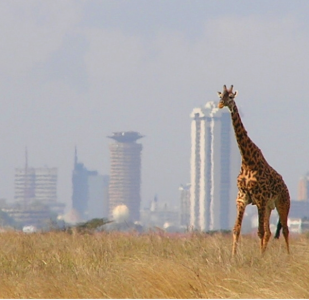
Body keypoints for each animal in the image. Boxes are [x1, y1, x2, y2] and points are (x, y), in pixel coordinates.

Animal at [217, 84, 288, 255]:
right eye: (220, 96)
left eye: (231, 97)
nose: (220, 105)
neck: (248, 161)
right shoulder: (242, 198)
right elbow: (236, 229)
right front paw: (233, 257)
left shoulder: (260, 199)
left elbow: (260, 232)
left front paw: (260, 258)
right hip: (269, 207)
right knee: (270, 231)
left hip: (282, 203)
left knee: (285, 231)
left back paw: (288, 256)